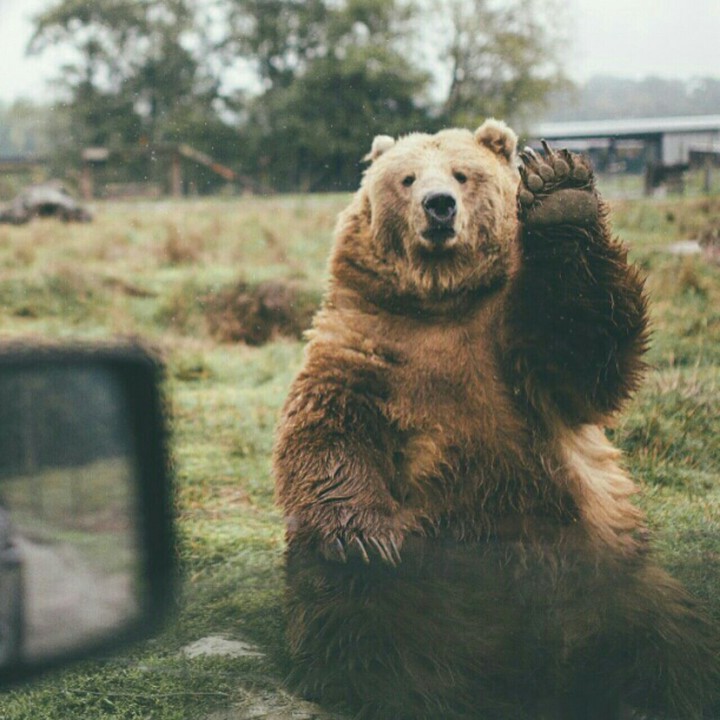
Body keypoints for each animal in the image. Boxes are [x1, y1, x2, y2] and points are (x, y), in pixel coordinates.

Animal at [272, 120, 720, 719]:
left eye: (463, 174)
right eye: (407, 178)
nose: (439, 206)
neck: (441, 301)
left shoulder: (514, 349)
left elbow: (583, 346)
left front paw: (560, 191)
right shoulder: (367, 343)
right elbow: (329, 429)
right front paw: (364, 538)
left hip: (611, 574)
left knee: (665, 641)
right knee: (357, 614)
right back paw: (395, 686)